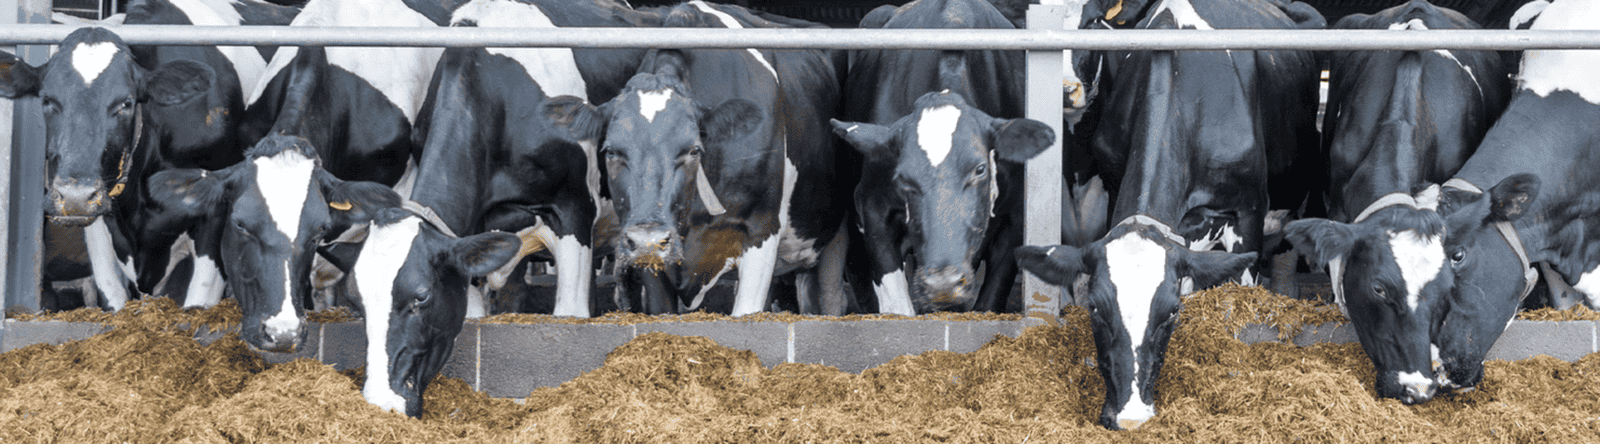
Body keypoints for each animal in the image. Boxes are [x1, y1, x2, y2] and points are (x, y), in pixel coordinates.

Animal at [0, 0, 298, 312]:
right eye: (47, 100)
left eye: (126, 103)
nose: (74, 196)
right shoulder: (99, 218)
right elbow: (111, 294)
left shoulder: (217, 210)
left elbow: (199, 300)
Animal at [838, 0, 1053, 315]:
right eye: (902, 178)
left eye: (980, 169)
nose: (942, 284)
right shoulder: (871, 203)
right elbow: (898, 306)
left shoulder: (1015, 215)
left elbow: (989, 301)